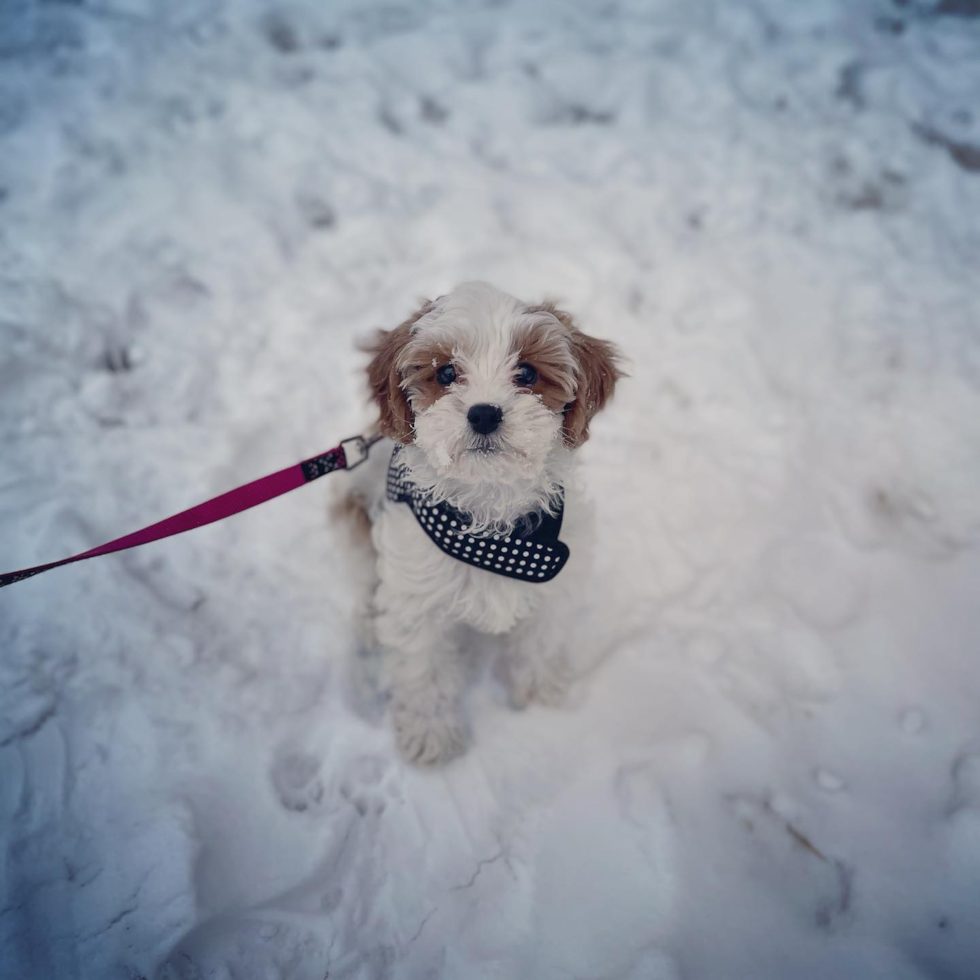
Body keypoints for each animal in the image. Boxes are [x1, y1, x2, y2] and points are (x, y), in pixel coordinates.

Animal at [336, 282, 624, 764]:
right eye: (447, 373)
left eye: (526, 373)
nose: (484, 413)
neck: (494, 528)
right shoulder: (417, 600)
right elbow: (424, 672)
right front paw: (432, 737)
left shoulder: (552, 586)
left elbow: (540, 642)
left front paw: (541, 696)